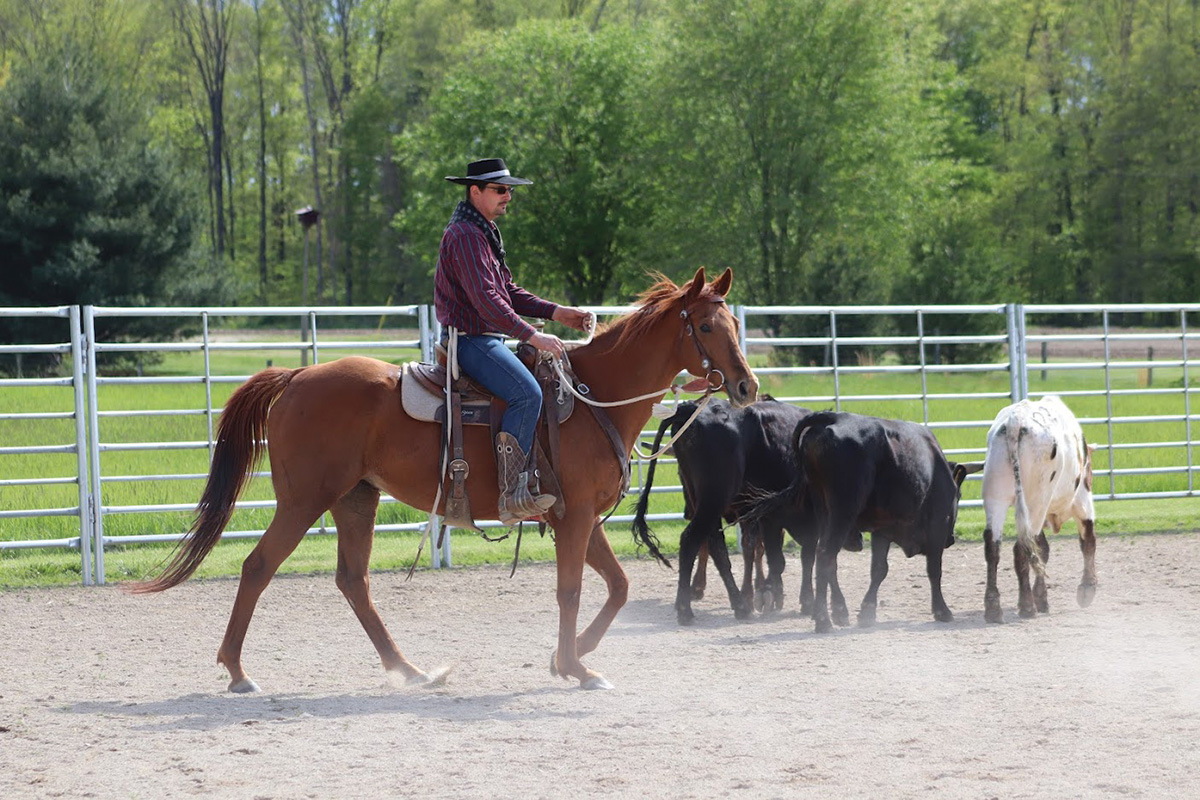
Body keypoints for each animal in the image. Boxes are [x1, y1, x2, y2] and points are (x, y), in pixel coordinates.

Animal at [129, 266, 748, 690]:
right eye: (706, 325)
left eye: (736, 323)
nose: (746, 386)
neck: (592, 397)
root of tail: (299, 375)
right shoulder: (573, 518)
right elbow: (570, 590)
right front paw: (575, 666)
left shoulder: (578, 516)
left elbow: (617, 586)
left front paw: (568, 660)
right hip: (304, 500)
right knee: (259, 566)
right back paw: (237, 671)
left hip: (355, 500)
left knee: (353, 581)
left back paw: (410, 669)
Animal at [628, 398, 854, 623]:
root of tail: (691, 408)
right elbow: (804, 556)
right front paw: (800, 599)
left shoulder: (771, 517)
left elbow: (782, 556)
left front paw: (775, 595)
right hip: (714, 498)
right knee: (692, 539)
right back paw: (687, 610)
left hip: (704, 500)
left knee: (716, 546)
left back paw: (739, 604)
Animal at [748, 412, 984, 633]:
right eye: (959, 495)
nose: (951, 539)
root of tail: (834, 418)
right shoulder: (937, 523)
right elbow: (934, 569)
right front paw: (942, 610)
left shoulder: (882, 528)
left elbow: (879, 569)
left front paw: (867, 612)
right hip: (843, 512)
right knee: (825, 556)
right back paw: (824, 620)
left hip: (825, 511)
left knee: (827, 559)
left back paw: (836, 611)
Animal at [984, 398, 1099, 623]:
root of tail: (1016, 421)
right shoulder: (1082, 500)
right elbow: (1088, 541)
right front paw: (1087, 588)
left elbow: (1042, 550)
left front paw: (1042, 597)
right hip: (1035, 502)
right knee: (1021, 548)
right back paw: (1027, 606)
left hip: (996, 497)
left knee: (993, 546)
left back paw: (993, 608)